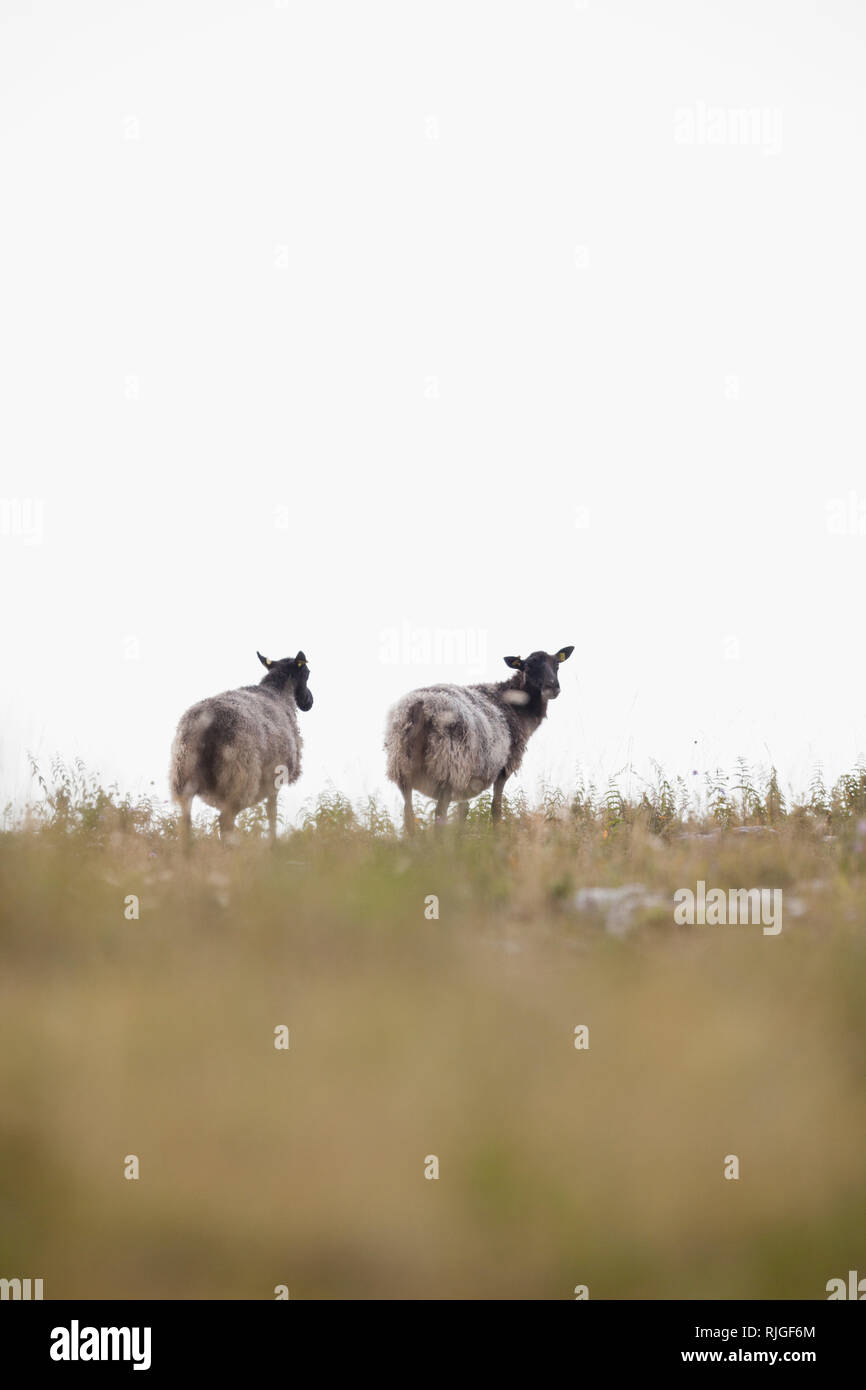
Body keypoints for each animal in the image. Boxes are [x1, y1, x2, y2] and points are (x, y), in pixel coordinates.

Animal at [167, 653, 312, 845]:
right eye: (307, 673)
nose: (309, 701)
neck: (278, 693)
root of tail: (207, 722)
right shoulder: (274, 777)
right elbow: (272, 813)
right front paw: (274, 845)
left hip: (184, 773)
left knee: (185, 821)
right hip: (239, 776)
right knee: (225, 820)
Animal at [386, 644, 575, 828]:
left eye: (557, 665)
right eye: (527, 667)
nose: (552, 688)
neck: (516, 706)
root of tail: (420, 706)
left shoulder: (467, 781)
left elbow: (463, 812)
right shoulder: (503, 768)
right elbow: (496, 808)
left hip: (404, 766)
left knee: (409, 814)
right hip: (449, 766)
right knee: (440, 814)